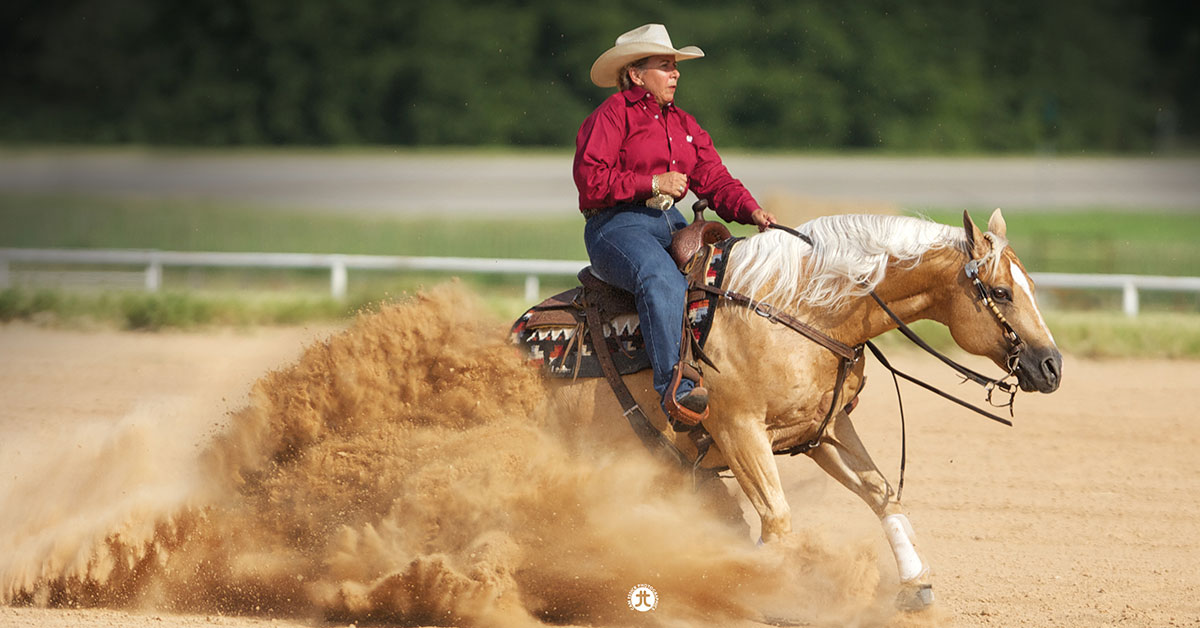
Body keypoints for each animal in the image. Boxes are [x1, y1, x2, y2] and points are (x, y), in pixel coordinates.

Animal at [537, 208, 1062, 608]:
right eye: (1001, 292)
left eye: (1033, 287)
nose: (1052, 366)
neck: (802, 310)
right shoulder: (740, 431)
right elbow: (778, 521)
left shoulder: (823, 430)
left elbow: (881, 493)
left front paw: (915, 584)